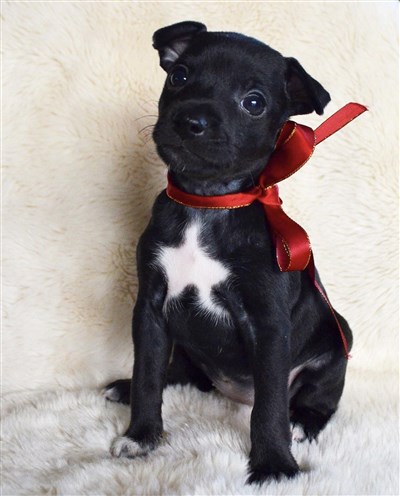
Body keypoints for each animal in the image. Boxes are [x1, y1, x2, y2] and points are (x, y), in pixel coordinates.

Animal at [103, 21, 353, 485]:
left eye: (253, 103)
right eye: (179, 75)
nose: (191, 120)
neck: (207, 204)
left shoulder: (268, 325)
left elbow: (269, 405)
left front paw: (274, 464)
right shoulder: (150, 309)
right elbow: (148, 374)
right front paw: (141, 435)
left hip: (336, 342)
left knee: (318, 399)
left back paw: (302, 421)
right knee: (176, 374)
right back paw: (123, 388)